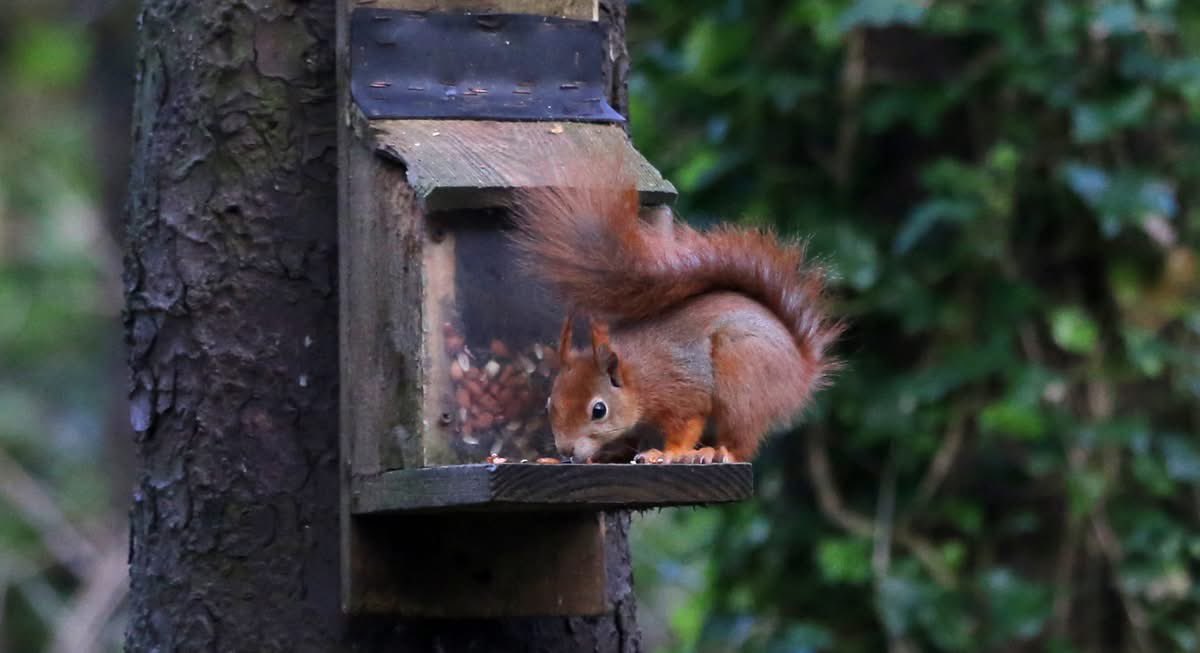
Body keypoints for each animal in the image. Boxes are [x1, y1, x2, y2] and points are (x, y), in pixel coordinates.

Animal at [507, 148, 841, 464]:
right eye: (550, 404)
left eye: (598, 410)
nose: (566, 451)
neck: (637, 375)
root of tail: (801, 368)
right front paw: (605, 455)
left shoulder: (684, 391)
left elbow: (686, 425)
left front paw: (666, 453)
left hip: (743, 378)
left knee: (742, 438)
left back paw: (719, 451)